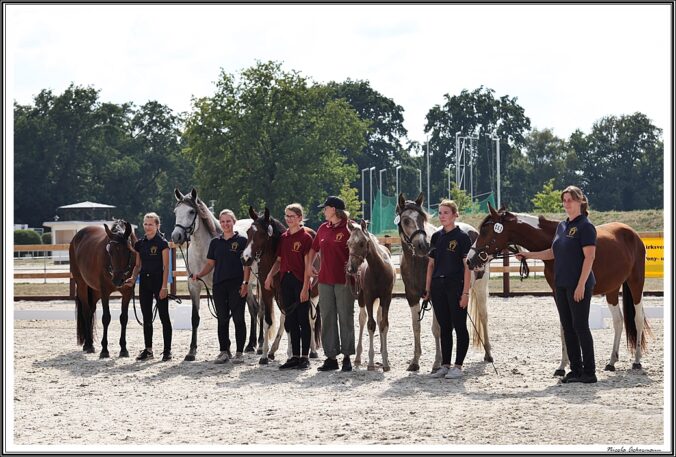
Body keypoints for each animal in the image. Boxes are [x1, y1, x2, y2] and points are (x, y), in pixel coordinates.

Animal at [70, 217, 136, 356]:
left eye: (128, 250)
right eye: (109, 251)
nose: (117, 280)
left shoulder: (127, 292)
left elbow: (124, 318)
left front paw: (123, 349)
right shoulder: (105, 292)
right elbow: (106, 318)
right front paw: (104, 350)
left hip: (95, 291)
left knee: (91, 310)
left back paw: (88, 343)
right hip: (82, 285)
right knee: (86, 311)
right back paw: (89, 345)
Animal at [348, 218, 396, 370]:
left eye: (362, 243)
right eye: (348, 243)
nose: (350, 268)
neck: (378, 270)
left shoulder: (387, 297)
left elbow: (383, 324)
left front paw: (385, 362)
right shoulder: (368, 297)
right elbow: (370, 325)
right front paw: (370, 362)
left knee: (379, 318)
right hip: (361, 297)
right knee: (362, 319)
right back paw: (358, 357)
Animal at [396, 192, 492, 370]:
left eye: (422, 219)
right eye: (405, 220)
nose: (423, 246)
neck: (418, 262)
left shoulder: (434, 296)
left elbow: (437, 329)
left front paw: (437, 362)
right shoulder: (411, 296)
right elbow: (416, 327)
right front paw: (415, 361)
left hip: (480, 288)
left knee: (483, 316)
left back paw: (488, 353)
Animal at [468, 203, 652, 374]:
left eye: (485, 231)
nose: (470, 260)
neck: (553, 244)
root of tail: (632, 233)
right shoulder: (558, 292)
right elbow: (564, 326)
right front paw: (563, 365)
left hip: (636, 283)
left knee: (638, 318)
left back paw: (637, 361)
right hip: (612, 290)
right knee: (618, 321)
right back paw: (612, 361)